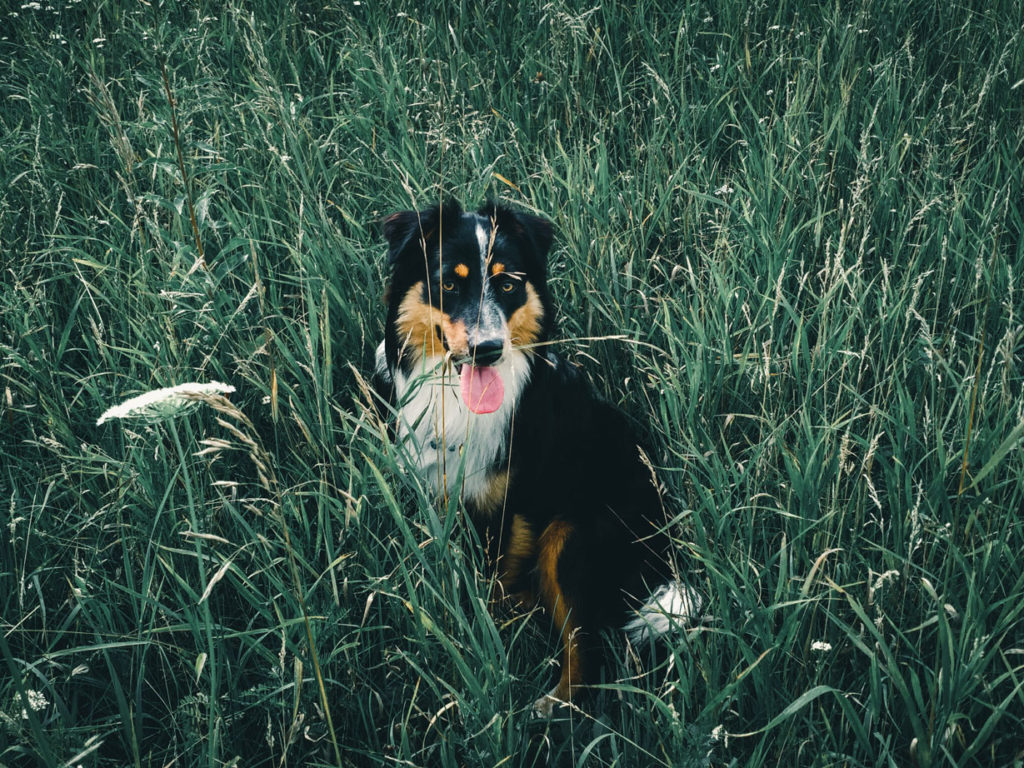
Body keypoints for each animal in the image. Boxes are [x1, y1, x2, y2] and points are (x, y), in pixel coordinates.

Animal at [372, 201, 700, 720]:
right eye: (449, 284)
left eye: (508, 284)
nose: (488, 349)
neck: (457, 401)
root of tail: (664, 547)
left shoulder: (512, 505)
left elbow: (495, 577)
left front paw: (489, 633)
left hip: (572, 536)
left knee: (588, 650)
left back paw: (550, 708)